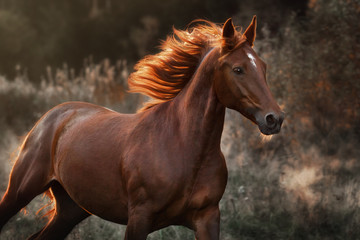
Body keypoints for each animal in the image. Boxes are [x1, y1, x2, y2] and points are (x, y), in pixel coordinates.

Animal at [0, 15, 284, 239]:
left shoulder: (208, 218)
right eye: (238, 69)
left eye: (263, 67)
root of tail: (53, 116)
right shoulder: (139, 217)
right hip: (20, 192)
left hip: (70, 210)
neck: (184, 148)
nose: (274, 119)